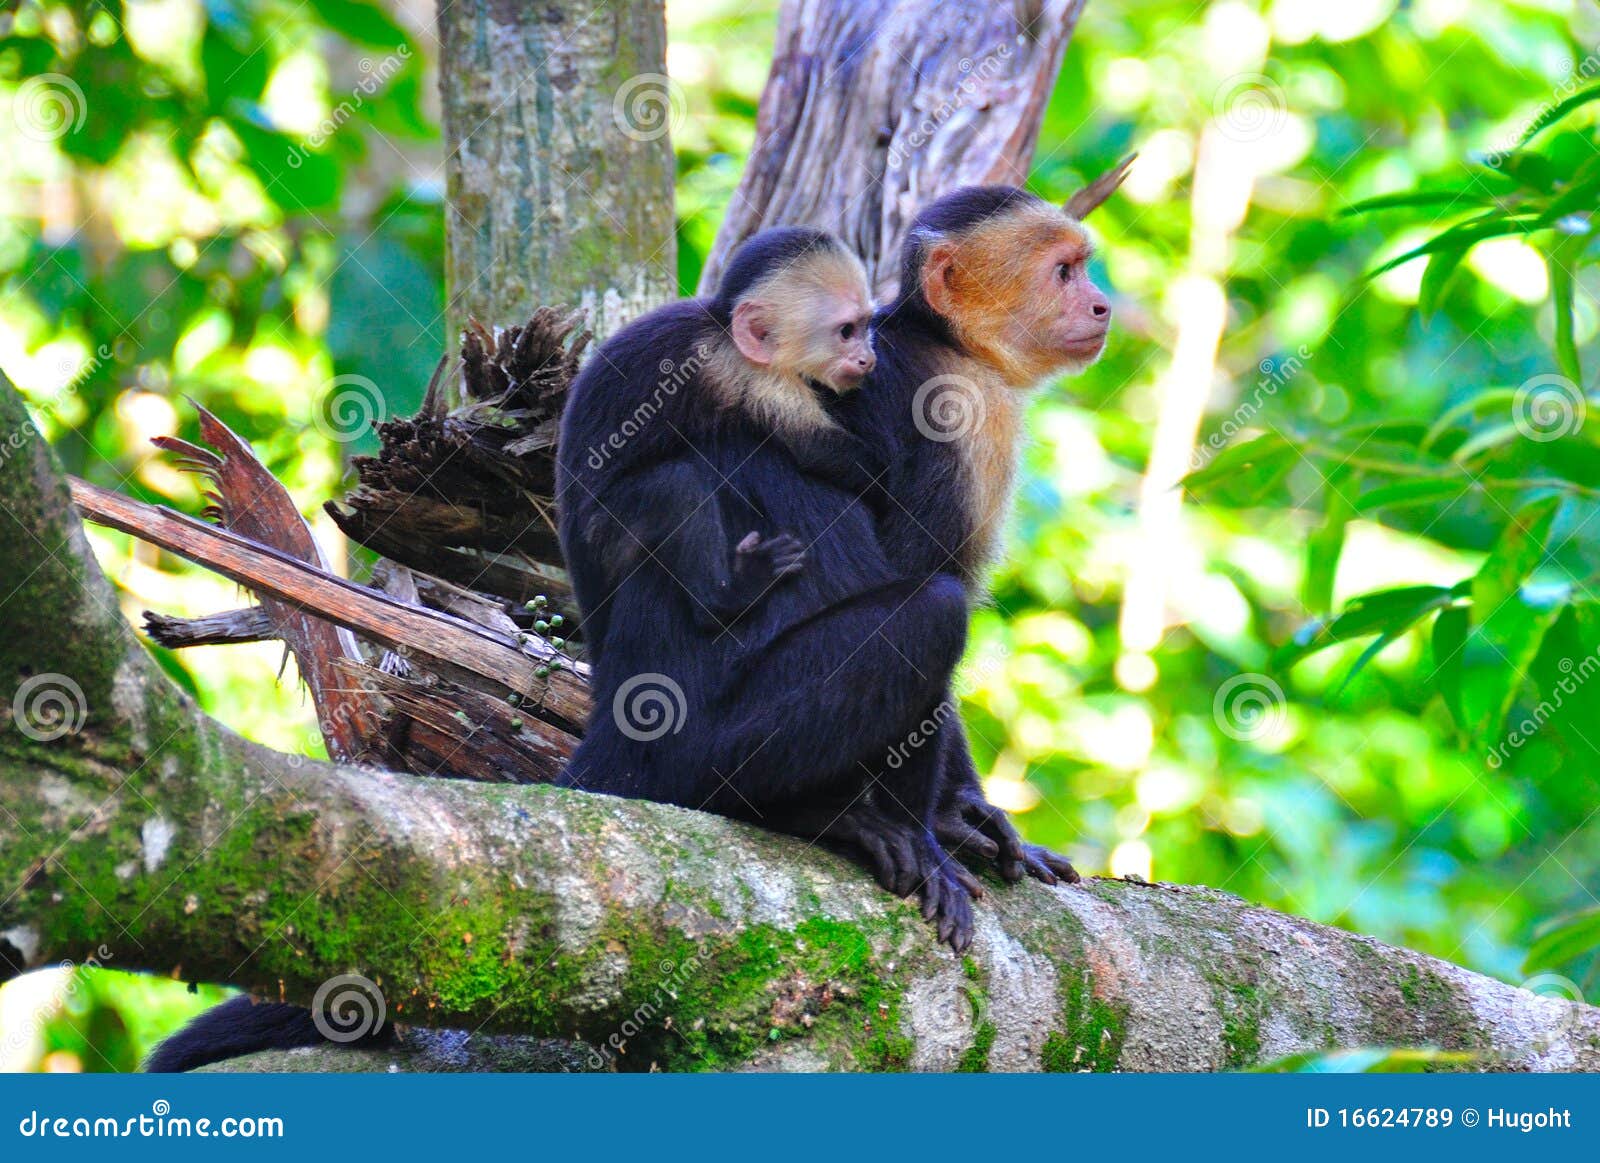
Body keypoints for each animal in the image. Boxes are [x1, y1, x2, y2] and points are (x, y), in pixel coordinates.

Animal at [832, 163, 1132, 889]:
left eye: (1084, 268)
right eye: (1063, 272)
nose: (1103, 305)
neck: (944, 340)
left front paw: (968, 808)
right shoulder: (965, 417)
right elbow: (925, 586)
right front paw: (945, 817)